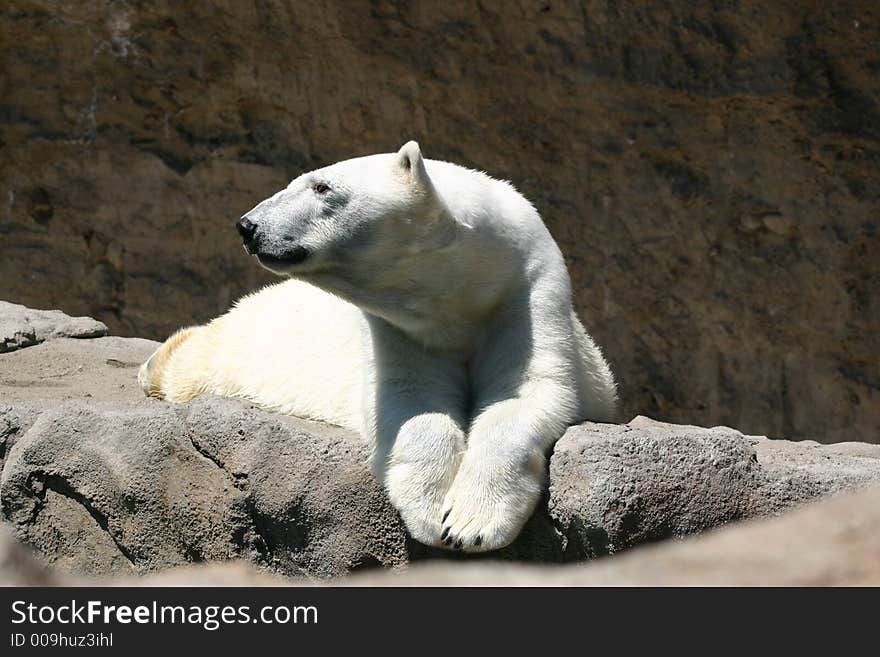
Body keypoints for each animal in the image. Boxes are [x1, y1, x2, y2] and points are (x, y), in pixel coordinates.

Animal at [139, 141, 620, 552]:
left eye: (322, 186)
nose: (248, 226)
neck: (461, 294)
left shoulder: (527, 295)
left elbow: (524, 394)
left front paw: (471, 523)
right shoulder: (398, 329)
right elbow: (413, 401)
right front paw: (433, 511)